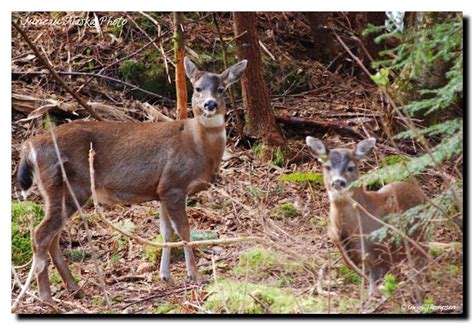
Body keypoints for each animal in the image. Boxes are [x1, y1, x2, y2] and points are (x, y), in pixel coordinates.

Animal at [17, 57, 248, 302]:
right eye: (197, 88)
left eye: (221, 89)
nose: (210, 105)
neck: (197, 145)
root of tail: (30, 147)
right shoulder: (174, 184)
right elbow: (184, 230)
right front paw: (196, 276)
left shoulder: (162, 190)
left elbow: (166, 231)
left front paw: (166, 276)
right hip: (69, 185)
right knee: (41, 234)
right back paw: (46, 296)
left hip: (59, 190)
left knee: (52, 236)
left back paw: (75, 288)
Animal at [306, 136, 428, 294]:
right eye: (327, 167)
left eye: (351, 167)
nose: (338, 182)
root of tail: (421, 192)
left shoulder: (381, 253)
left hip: (421, 239)